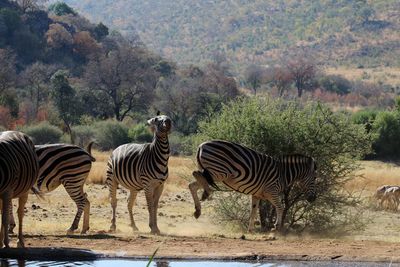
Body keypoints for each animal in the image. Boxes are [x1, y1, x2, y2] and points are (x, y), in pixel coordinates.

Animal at [189, 140, 318, 232]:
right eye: (315, 178)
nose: (313, 199)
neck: (283, 174)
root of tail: (201, 146)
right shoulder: (271, 191)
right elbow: (280, 207)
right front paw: (276, 227)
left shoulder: (257, 194)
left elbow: (254, 211)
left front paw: (250, 230)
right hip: (219, 172)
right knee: (196, 175)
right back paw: (206, 193)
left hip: (213, 172)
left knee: (193, 184)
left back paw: (198, 210)